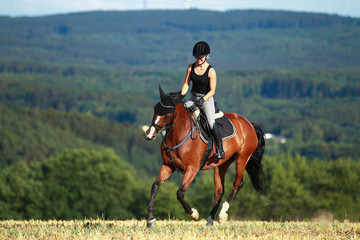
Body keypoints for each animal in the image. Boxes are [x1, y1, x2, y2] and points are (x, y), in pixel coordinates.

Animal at [145, 86, 266, 227]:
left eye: (168, 115)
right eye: (155, 109)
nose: (149, 135)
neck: (177, 135)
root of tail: (248, 123)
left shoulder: (192, 168)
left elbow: (180, 193)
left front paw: (194, 213)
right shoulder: (168, 165)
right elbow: (155, 186)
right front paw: (150, 219)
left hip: (242, 158)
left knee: (237, 184)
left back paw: (222, 215)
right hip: (221, 164)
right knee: (219, 191)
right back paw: (209, 221)